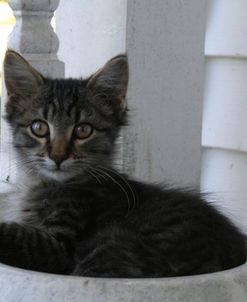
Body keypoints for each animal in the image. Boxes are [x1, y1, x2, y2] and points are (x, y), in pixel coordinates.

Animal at [0, 50, 245, 278]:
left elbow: (17, 233)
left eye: (83, 130)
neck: (45, 184)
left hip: (110, 245)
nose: (58, 156)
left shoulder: (59, 247)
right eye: (39, 127)